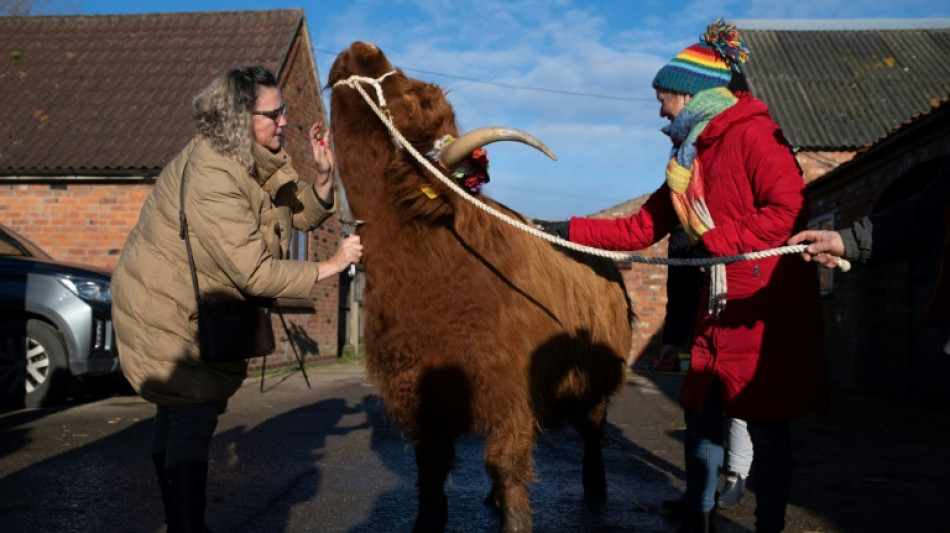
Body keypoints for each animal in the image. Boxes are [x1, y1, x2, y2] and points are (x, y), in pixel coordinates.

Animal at [328, 42, 632, 532]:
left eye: (412, 96)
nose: (362, 48)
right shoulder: (418, 396)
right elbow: (431, 471)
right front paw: (427, 522)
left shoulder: (511, 390)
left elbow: (506, 463)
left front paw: (516, 522)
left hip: (598, 381)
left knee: (592, 431)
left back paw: (595, 487)